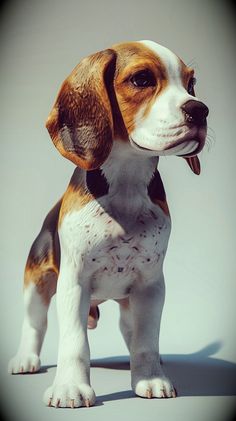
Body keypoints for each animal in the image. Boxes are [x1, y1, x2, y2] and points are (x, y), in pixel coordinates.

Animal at [8, 40, 208, 406]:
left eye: (191, 83)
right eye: (142, 79)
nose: (200, 111)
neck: (127, 179)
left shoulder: (151, 285)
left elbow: (146, 340)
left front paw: (151, 378)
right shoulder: (74, 282)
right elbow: (74, 343)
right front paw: (70, 387)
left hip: (130, 302)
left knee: (132, 332)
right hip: (36, 282)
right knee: (35, 324)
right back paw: (25, 359)